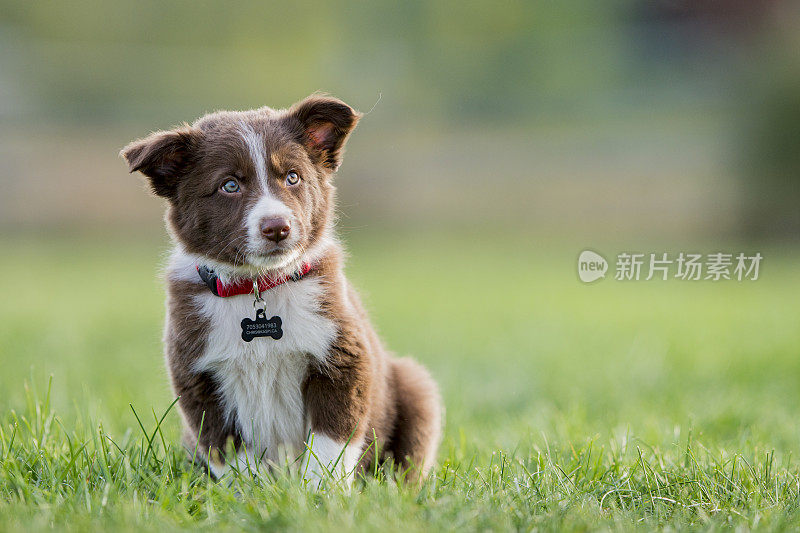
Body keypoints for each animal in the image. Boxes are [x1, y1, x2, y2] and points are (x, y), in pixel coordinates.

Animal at [122, 94, 440, 482]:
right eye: (230, 185)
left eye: (292, 177)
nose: (277, 227)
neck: (259, 285)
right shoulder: (200, 381)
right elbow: (232, 452)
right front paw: (255, 490)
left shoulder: (342, 361)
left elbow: (330, 444)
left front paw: (320, 490)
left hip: (415, 388)